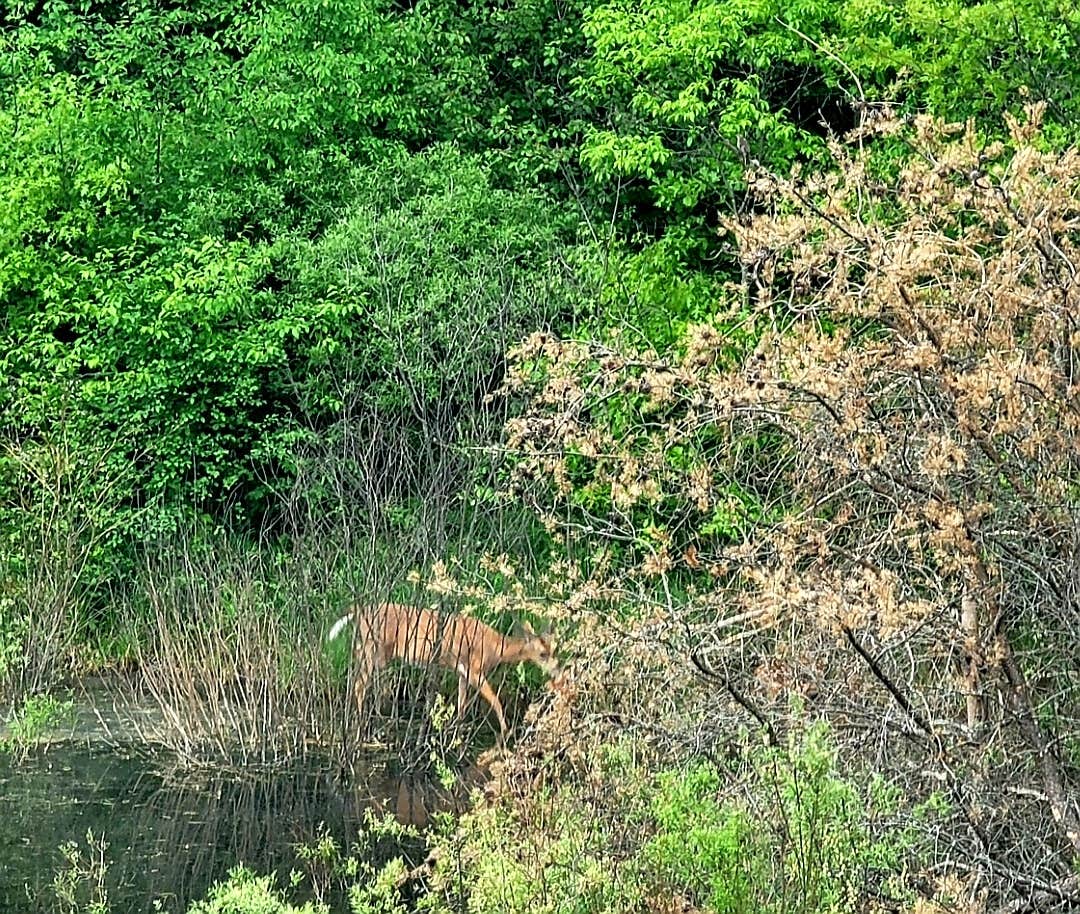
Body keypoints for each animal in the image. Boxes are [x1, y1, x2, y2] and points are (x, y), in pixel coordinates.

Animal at [326, 600, 561, 743]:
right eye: (542, 654)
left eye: (555, 648)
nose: (558, 672)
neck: (495, 647)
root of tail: (359, 611)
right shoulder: (475, 669)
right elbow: (495, 700)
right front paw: (507, 731)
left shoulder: (462, 672)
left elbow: (461, 703)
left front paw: (456, 732)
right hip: (375, 648)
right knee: (360, 683)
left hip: (366, 648)